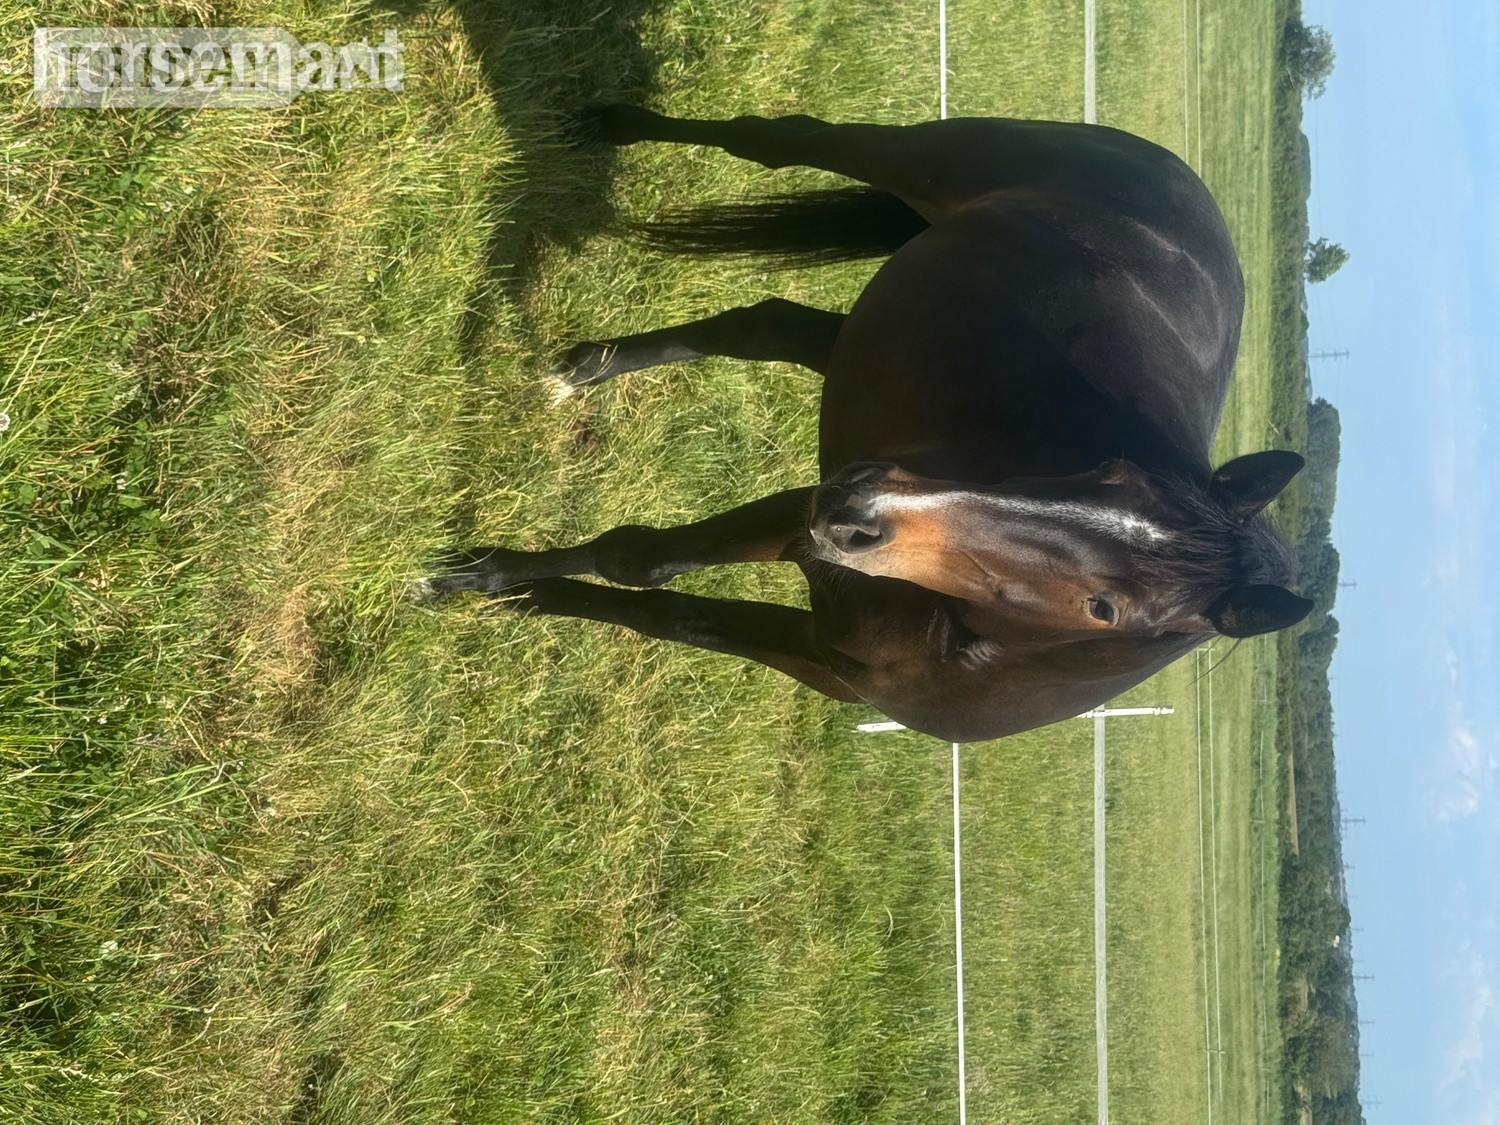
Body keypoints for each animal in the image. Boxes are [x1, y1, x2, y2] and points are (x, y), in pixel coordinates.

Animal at [421, 105, 1313, 743]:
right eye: (1105, 469)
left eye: (1107, 609)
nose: (861, 510)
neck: (958, 637)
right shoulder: (812, 511)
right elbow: (640, 558)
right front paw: (477, 576)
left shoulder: (822, 648)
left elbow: (662, 603)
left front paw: (517, 596)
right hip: (916, 158)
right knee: (780, 139)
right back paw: (610, 126)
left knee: (765, 326)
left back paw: (586, 367)